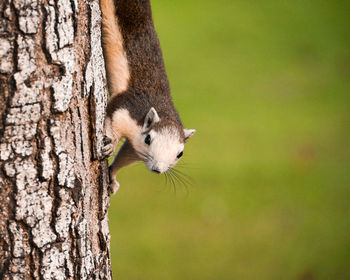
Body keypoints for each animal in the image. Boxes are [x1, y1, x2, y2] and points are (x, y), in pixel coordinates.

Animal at [100, 0, 196, 194]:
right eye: (148, 139)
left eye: (180, 153)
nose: (157, 169)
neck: (164, 111)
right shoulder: (126, 107)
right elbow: (113, 121)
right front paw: (110, 145)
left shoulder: (135, 146)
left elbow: (126, 155)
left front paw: (112, 176)